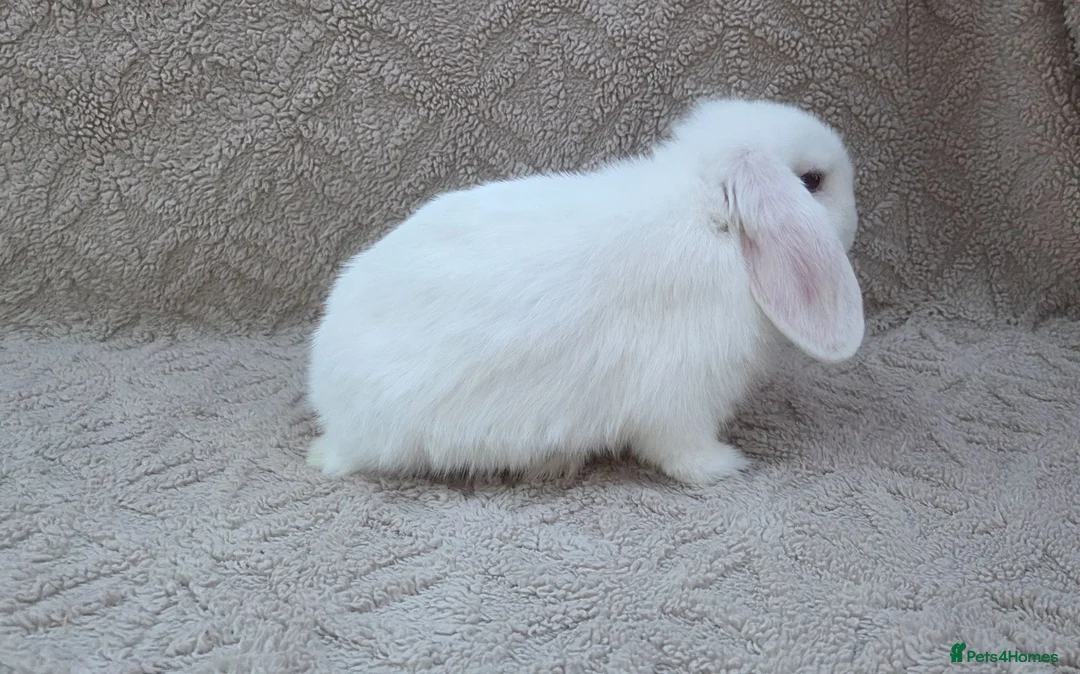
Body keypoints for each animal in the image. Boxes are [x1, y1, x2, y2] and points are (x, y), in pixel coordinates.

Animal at [306, 97, 864, 486]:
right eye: (813, 181)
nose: (856, 224)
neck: (714, 218)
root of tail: (333, 413)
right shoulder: (681, 397)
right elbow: (681, 451)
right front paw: (726, 466)